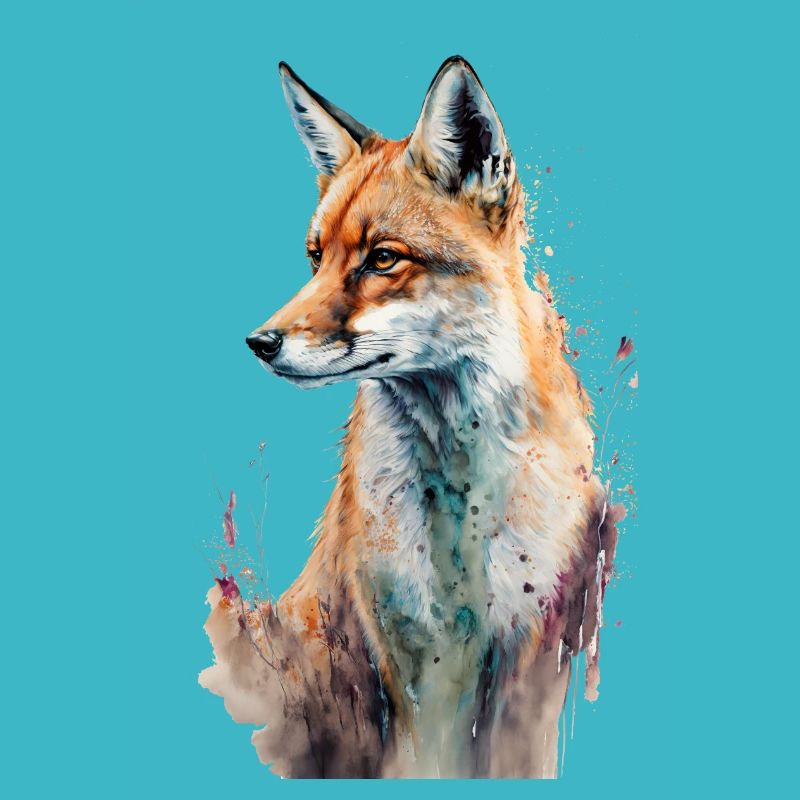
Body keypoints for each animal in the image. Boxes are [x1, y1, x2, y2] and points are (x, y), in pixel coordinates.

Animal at [200, 56, 622, 779]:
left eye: (382, 259)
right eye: (316, 257)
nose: (260, 342)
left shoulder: (532, 653)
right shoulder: (414, 654)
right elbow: (427, 761)